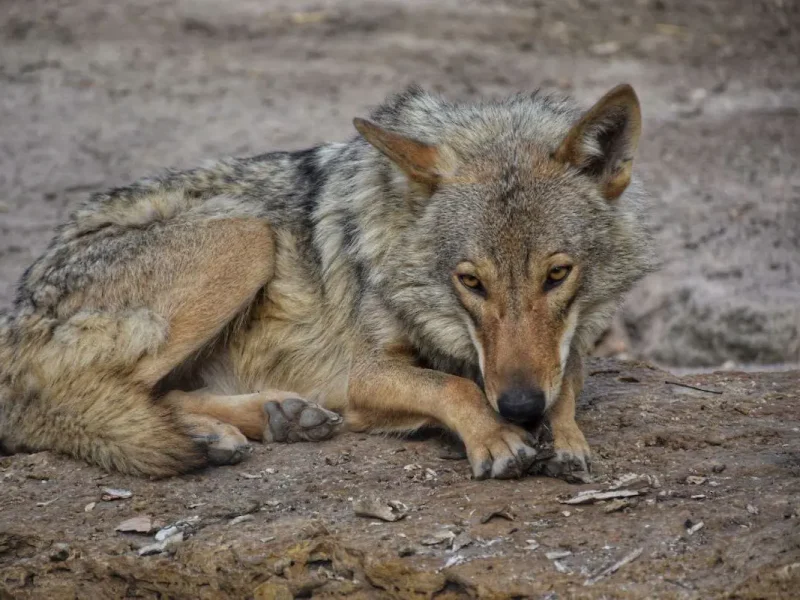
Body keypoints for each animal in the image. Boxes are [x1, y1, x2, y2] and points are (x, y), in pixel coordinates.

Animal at [0, 83, 656, 480]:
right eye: (471, 281)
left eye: (557, 274)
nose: (519, 407)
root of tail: (21, 297)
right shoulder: (362, 373)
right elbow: (454, 388)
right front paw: (496, 437)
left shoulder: (559, 353)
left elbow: (564, 380)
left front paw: (563, 437)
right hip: (247, 238)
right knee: (67, 401)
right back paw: (214, 433)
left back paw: (270, 419)